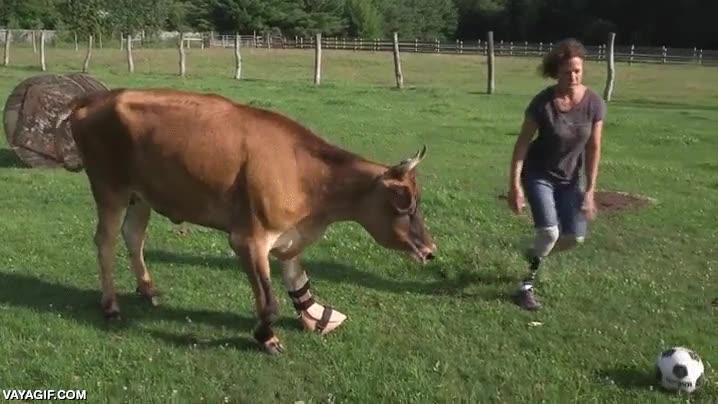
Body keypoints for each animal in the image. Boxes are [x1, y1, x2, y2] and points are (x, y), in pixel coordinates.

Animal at [60, 87, 437, 354]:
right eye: (406, 207)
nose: (431, 250)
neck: (310, 178)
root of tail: (93, 99)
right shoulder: (248, 239)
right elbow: (269, 302)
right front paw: (266, 337)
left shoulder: (289, 237)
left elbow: (297, 281)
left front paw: (315, 316)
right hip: (110, 187)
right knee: (105, 241)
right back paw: (110, 306)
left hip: (142, 195)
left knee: (133, 235)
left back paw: (148, 289)